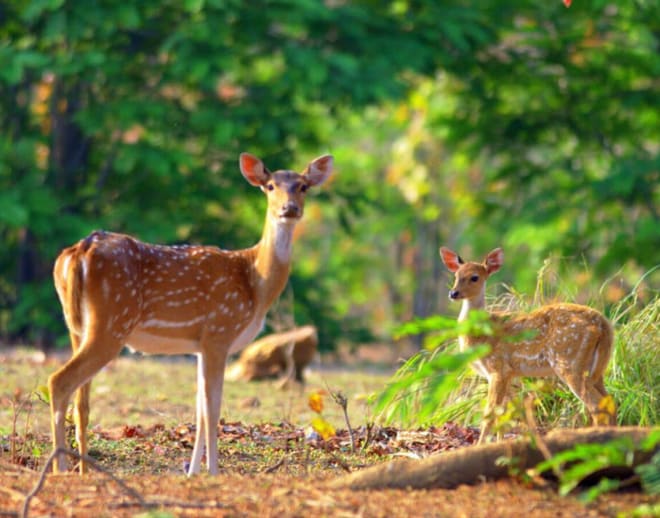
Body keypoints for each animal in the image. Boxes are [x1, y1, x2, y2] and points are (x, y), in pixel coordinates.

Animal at [49, 151, 332, 476]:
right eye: (270, 186)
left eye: (303, 186)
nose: (289, 209)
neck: (255, 282)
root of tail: (78, 252)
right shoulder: (220, 331)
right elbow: (213, 407)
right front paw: (213, 472)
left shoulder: (199, 344)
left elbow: (199, 408)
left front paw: (193, 471)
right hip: (111, 321)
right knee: (59, 382)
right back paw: (58, 469)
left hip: (76, 325)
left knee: (80, 400)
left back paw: (81, 470)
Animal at [440, 246, 616, 444]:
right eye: (456, 275)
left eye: (474, 277)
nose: (453, 293)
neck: (481, 335)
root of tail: (604, 325)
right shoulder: (509, 374)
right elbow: (503, 415)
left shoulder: (498, 368)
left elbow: (490, 414)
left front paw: (480, 445)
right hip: (597, 367)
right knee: (610, 401)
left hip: (570, 362)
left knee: (596, 405)